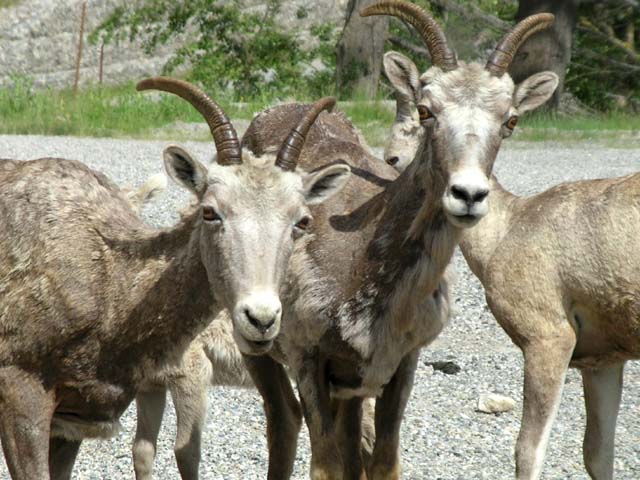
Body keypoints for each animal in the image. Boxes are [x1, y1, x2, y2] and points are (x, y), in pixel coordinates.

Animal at [0, 79, 350, 480]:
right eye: (210, 212)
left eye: (301, 221)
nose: (261, 319)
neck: (111, 288)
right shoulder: (22, 396)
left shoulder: (71, 424)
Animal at [232, 1, 556, 478]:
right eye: (425, 110)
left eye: (510, 120)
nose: (468, 195)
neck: (362, 271)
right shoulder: (308, 359)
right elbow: (324, 463)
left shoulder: (398, 365)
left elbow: (382, 460)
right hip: (256, 346)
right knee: (282, 421)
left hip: (348, 394)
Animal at [380, 48, 640, 480]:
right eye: (427, 109)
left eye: (510, 119)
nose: (467, 195)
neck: (510, 228)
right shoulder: (604, 360)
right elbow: (598, 453)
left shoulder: (549, 340)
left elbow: (528, 451)